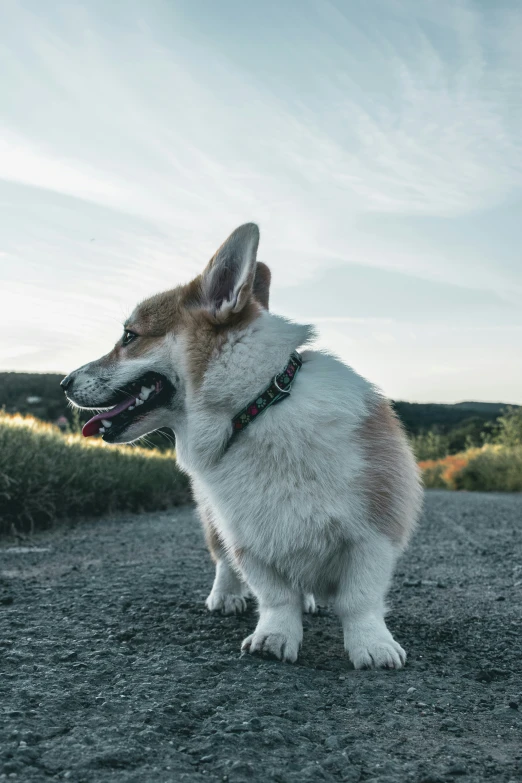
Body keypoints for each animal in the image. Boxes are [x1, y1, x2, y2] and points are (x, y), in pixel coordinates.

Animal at [61, 225, 420, 668]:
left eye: (130, 337)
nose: (63, 383)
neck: (256, 405)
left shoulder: (373, 533)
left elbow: (360, 599)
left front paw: (373, 646)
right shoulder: (249, 538)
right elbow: (276, 597)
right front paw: (274, 637)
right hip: (213, 520)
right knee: (223, 562)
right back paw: (226, 596)